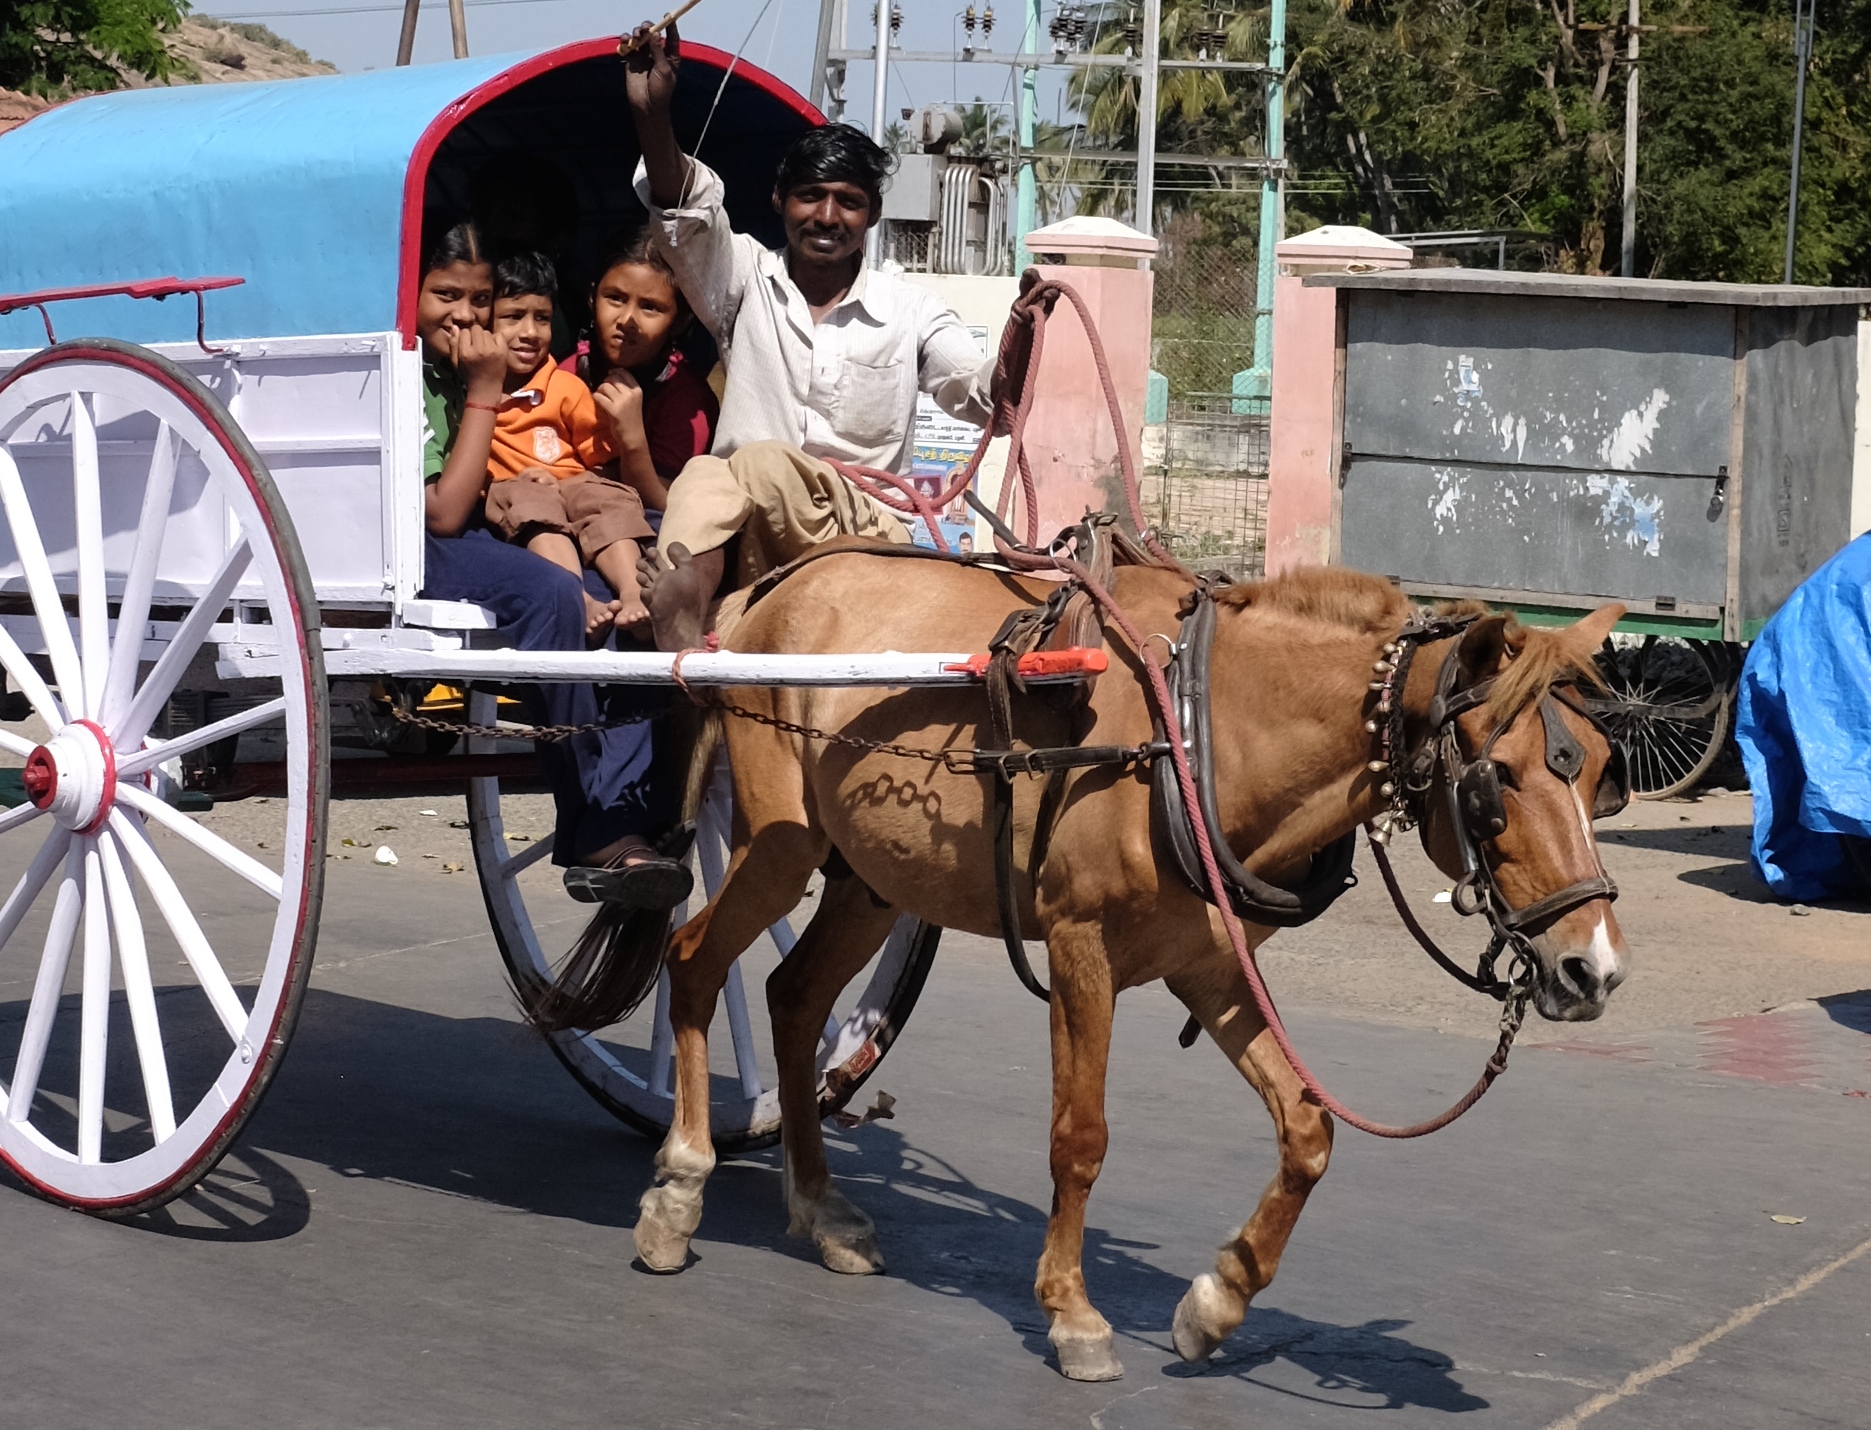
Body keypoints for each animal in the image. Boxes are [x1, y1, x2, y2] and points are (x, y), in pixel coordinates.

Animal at [562, 555, 1630, 1381]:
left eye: (1600, 773)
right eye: (1498, 783)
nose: (1595, 972)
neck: (1198, 731)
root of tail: (772, 586)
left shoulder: (1210, 967)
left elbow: (1308, 1127)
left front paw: (1218, 1300)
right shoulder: (1081, 948)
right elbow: (1079, 1138)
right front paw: (1072, 1315)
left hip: (871, 878)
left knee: (792, 997)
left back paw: (821, 1210)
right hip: (779, 843)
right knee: (696, 963)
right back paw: (680, 1187)